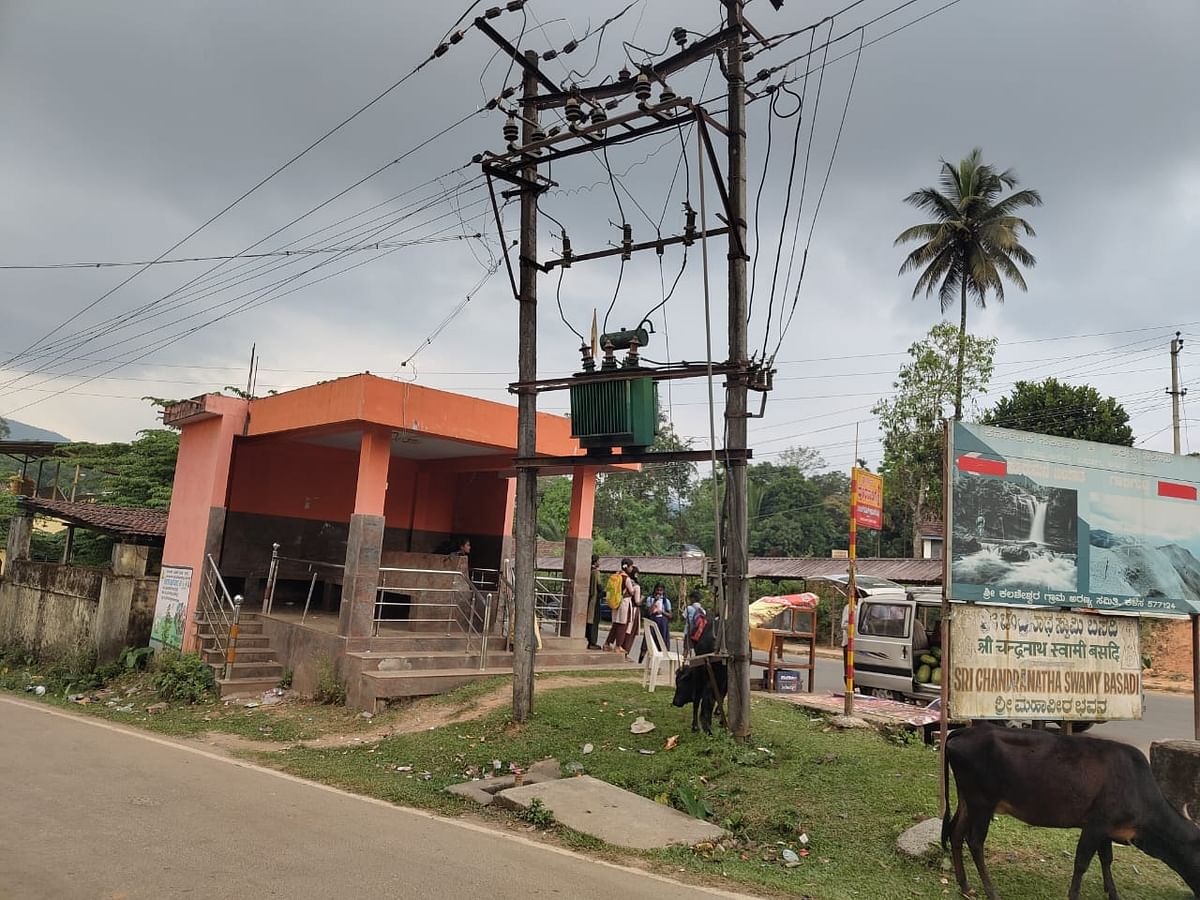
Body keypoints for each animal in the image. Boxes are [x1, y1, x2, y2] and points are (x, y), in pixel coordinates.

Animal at [940, 724, 1200, 900]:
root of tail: (963, 731)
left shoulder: (1105, 829)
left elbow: (1106, 859)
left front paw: (1113, 893)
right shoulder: (1096, 824)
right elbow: (1082, 862)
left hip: (968, 801)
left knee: (955, 834)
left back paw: (965, 886)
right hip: (983, 803)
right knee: (974, 842)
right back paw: (990, 891)